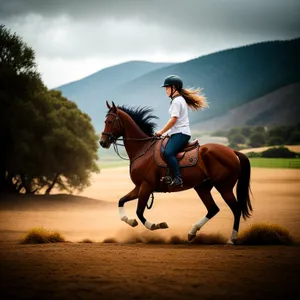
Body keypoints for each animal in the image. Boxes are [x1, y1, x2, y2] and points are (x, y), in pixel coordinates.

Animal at [99, 101, 252, 244]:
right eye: (105, 121)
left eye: (110, 122)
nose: (102, 142)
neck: (142, 149)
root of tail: (233, 151)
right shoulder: (139, 187)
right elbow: (121, 201)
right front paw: (130, 221)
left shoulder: (146, 186)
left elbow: (139, 212)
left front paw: (156, 225)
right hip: (202, 187)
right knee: (213, 209)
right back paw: (192, 232)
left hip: (224, 188)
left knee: (236, 209)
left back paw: (231, 239)